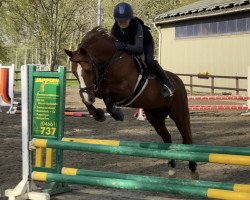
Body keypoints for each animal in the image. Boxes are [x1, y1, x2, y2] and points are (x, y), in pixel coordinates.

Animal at [65, 26, 198, 178]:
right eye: (74, 73)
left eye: (88, 70)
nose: (89, 97)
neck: (112, 60)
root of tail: (179, 81)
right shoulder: (97, 87)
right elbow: (96, 95)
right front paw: (99, 114)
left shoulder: (126, 89)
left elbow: (105, 92)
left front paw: (116, 113)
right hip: (155, 117)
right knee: (167, 137)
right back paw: (171, 168)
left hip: (179, 113)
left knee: (187, 139)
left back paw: (193, 170)